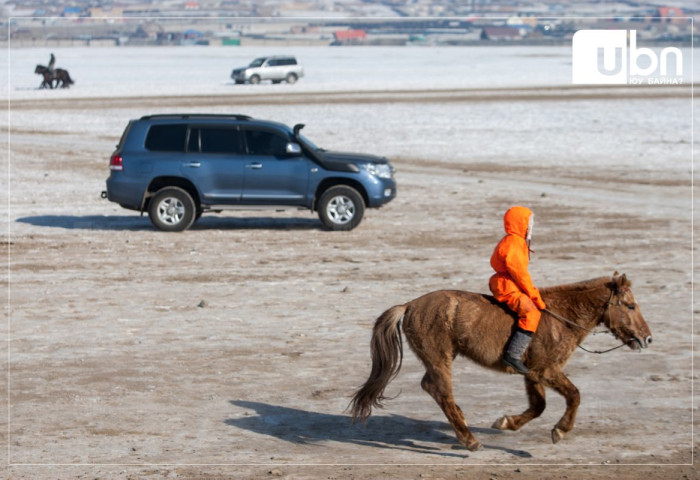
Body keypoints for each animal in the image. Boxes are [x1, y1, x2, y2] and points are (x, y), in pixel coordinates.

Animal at [352, 274, 652, 450]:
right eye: (631, 306)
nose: (647, 338)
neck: (561, 317)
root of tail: (410, 305)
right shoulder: (547, 370)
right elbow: (574, 396)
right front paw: (560, 430)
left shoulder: (532, 374)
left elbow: (538, 406)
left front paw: (507, 422)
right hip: (440, 359)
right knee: (442, 392)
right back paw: (469, 439)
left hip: (440, 358)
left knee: (432, 387)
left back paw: (462, 425)